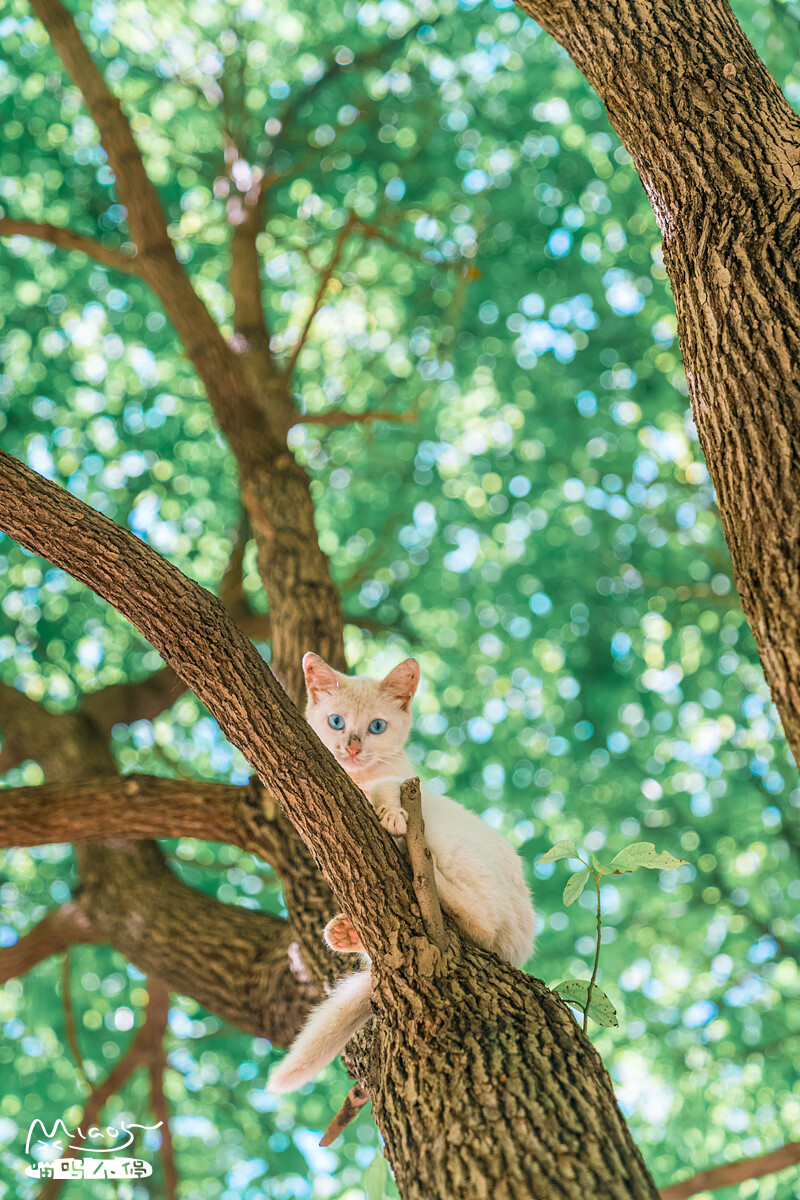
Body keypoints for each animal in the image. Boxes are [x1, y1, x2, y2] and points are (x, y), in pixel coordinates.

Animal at [268, 652, 537, 1094]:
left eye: (377, 727)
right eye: (336, 721)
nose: (352, 746)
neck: (357, 778)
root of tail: (519, 946)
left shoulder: (404, 783)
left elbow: (386, 789)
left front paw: (390, 814)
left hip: (448, 840)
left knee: (480, 920)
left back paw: (417, 867)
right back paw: (347, 932)